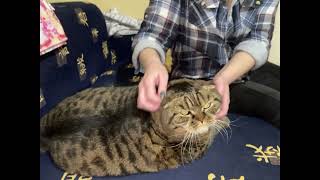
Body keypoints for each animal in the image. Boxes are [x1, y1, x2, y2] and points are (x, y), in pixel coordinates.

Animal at [40, 78, 230, 176]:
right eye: (187, 114)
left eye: (206, 106)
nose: (203, 120)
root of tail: (47, 131)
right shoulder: (196, 148)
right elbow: (212, 132)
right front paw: (224, 120)